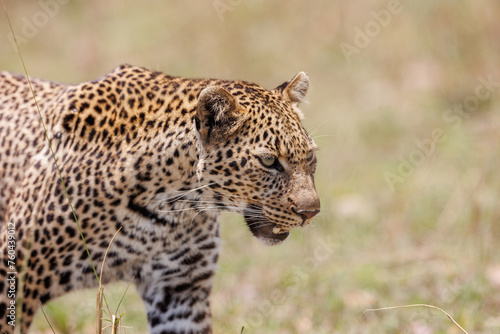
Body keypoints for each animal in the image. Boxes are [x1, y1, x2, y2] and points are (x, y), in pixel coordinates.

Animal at [0, 64, 320, 332]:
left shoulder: (181, 290)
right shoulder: (13, 279)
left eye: (310, 157)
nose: (311, 212)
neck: (172, 203)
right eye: (268, 161)